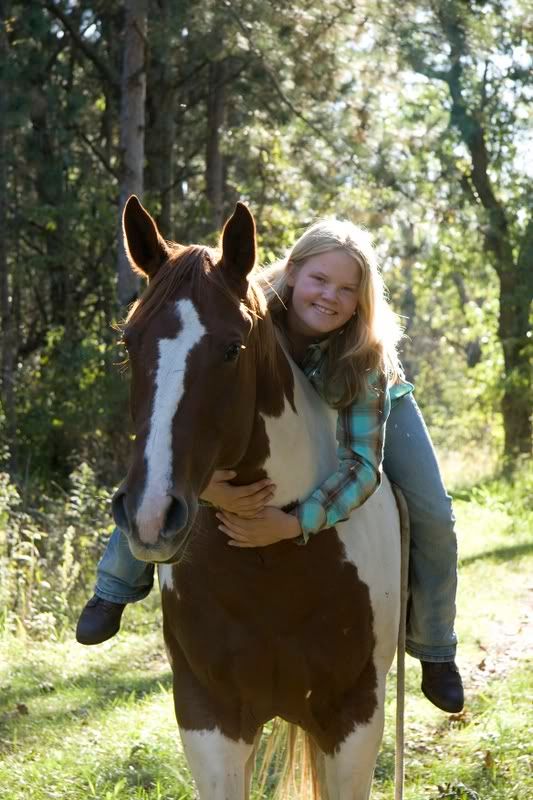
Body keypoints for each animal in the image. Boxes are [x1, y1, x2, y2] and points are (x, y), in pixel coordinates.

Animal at [113, 195, 404, 800]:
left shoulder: (355, 719)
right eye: (129, 343)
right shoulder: (209, 720)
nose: (150, 515)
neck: (269, 572)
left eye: (232, 348)